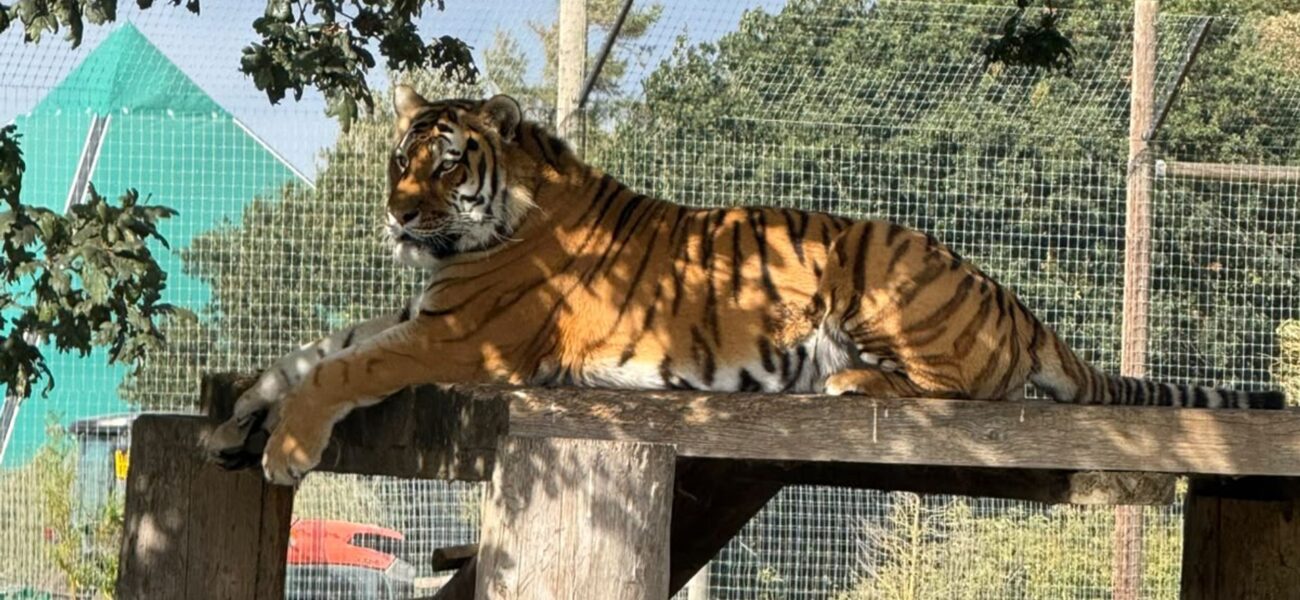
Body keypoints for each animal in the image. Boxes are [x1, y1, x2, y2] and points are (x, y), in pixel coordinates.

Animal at [204, 86, 1285, 486]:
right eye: (398, 164)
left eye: (442, 166)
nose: (398, 218)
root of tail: (1024, 309)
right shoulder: (422, 310)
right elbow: (308, 352)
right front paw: (232, 416)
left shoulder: (464, 335)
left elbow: (342, 369)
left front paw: (285, 451)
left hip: (879, 266)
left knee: (974, 390)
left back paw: (850, 381)